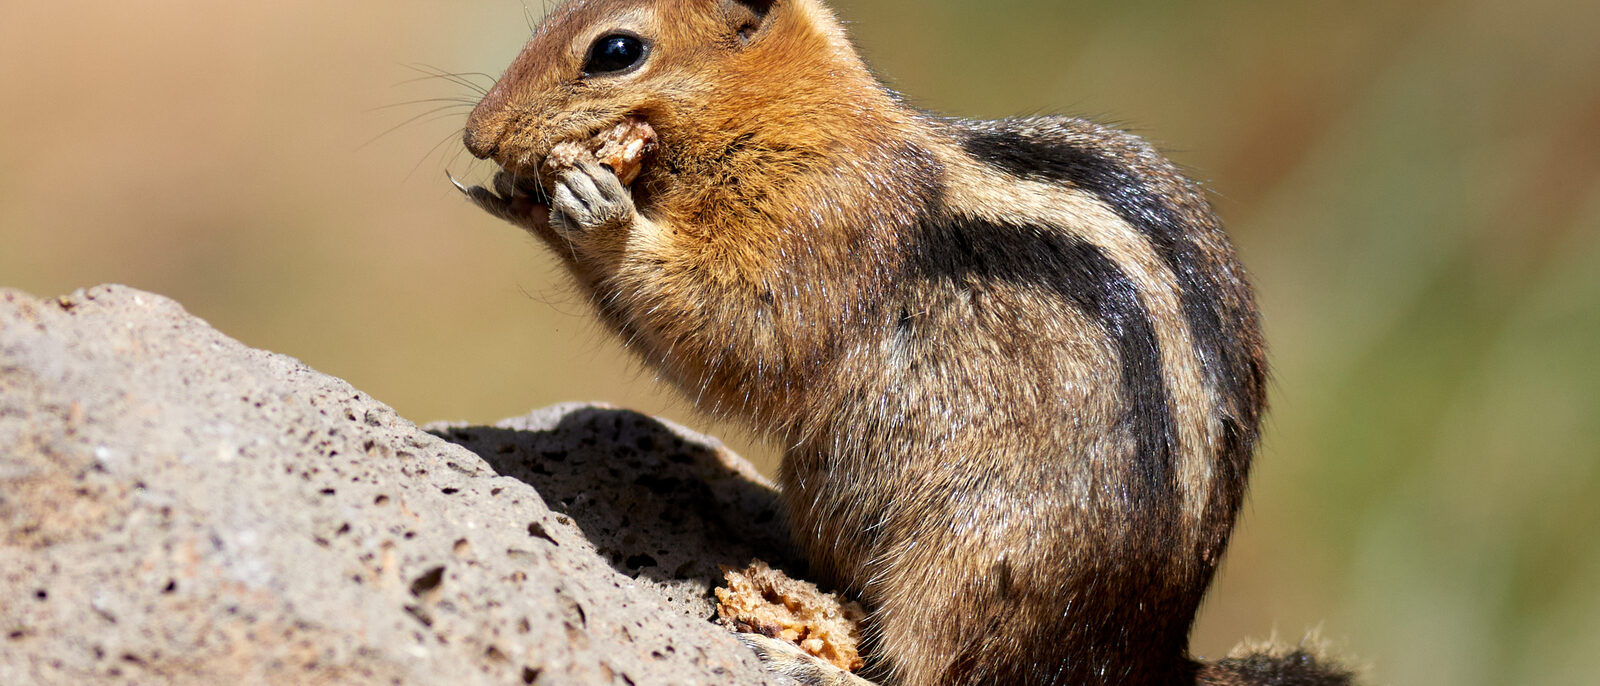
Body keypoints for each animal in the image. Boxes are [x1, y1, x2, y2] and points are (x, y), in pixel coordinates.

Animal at [457, 1, 1354, 685]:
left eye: (615, 51)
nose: (477, 135)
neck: (797, 112)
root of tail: (1146, 657)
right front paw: (513, 194)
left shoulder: (817, 226)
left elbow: (739, 334)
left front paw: (594, 207)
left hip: (967, 569)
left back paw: (804, 657)